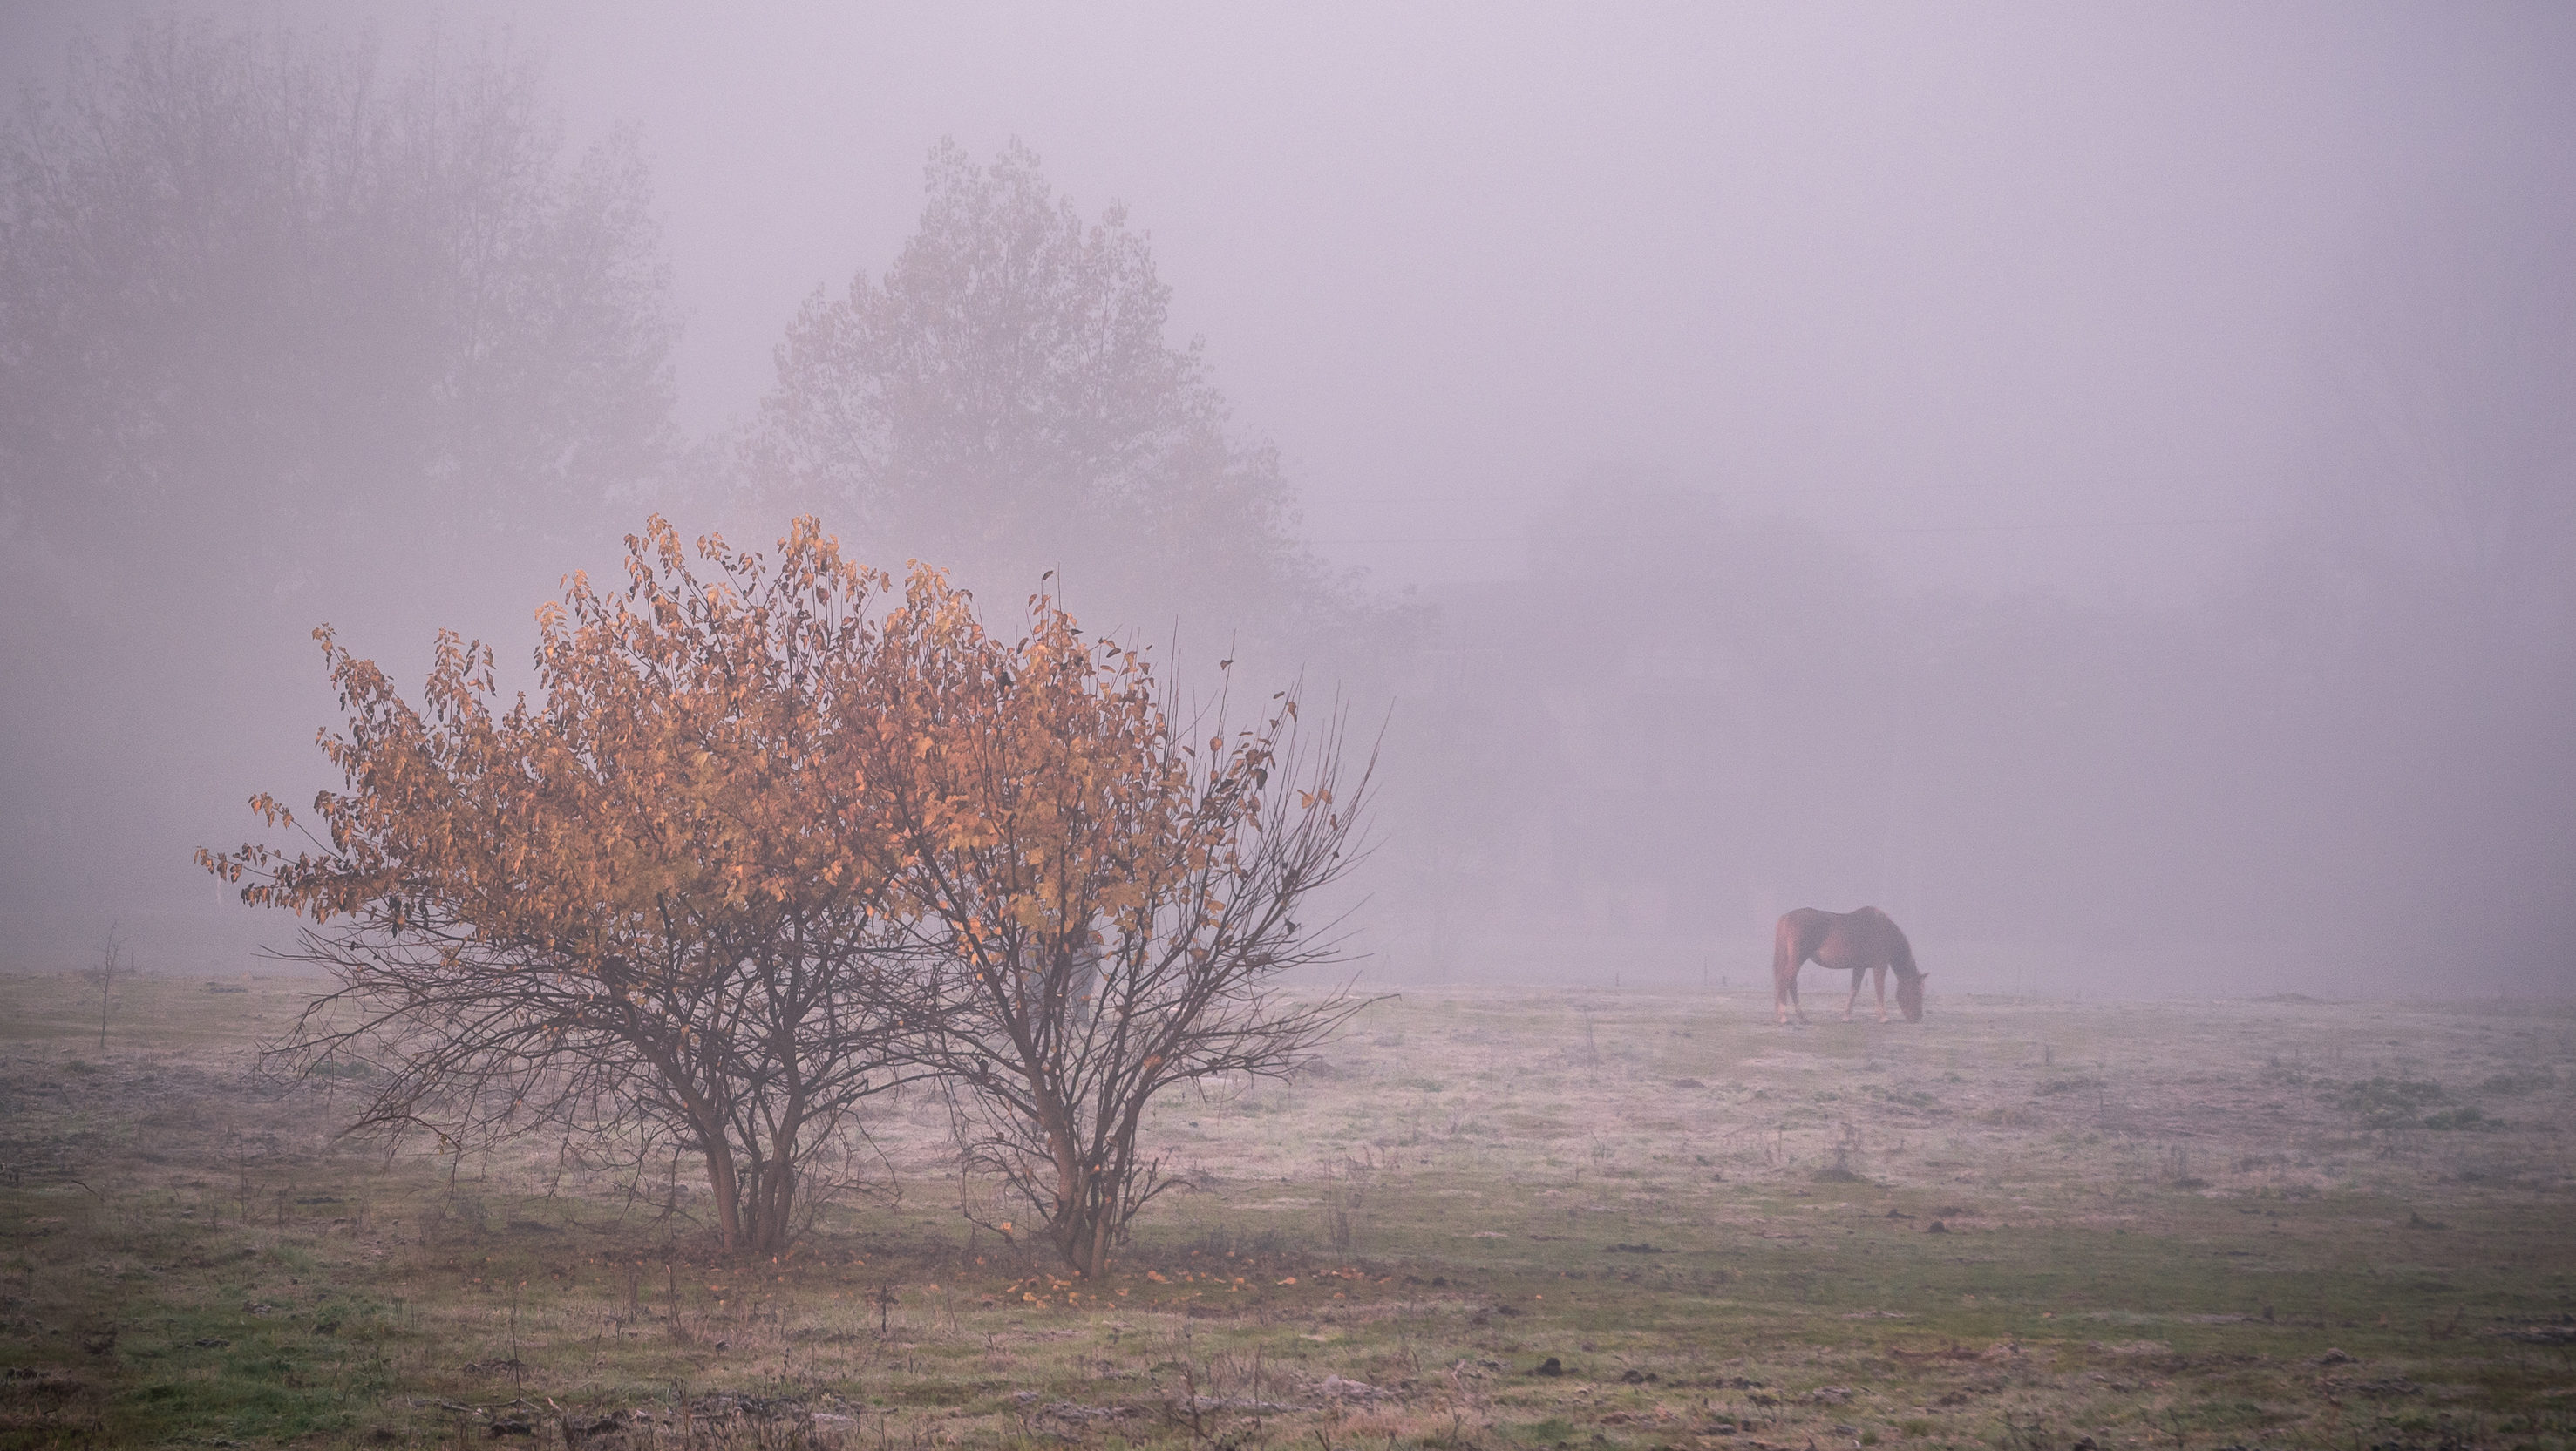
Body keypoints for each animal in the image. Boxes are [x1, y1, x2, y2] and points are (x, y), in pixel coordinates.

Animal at [1782, 912, 1927, 1026]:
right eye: (1917, 992)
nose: (1918, 1018)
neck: (1884, 931)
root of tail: (1787, 917)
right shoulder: (1880, 965)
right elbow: (1880, 989)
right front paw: (1884, 1018)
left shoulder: (1860, 967)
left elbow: (1854, 990)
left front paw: (1847, 1017)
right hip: (1798, 959)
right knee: (1788, 982)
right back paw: (1789, 1017)